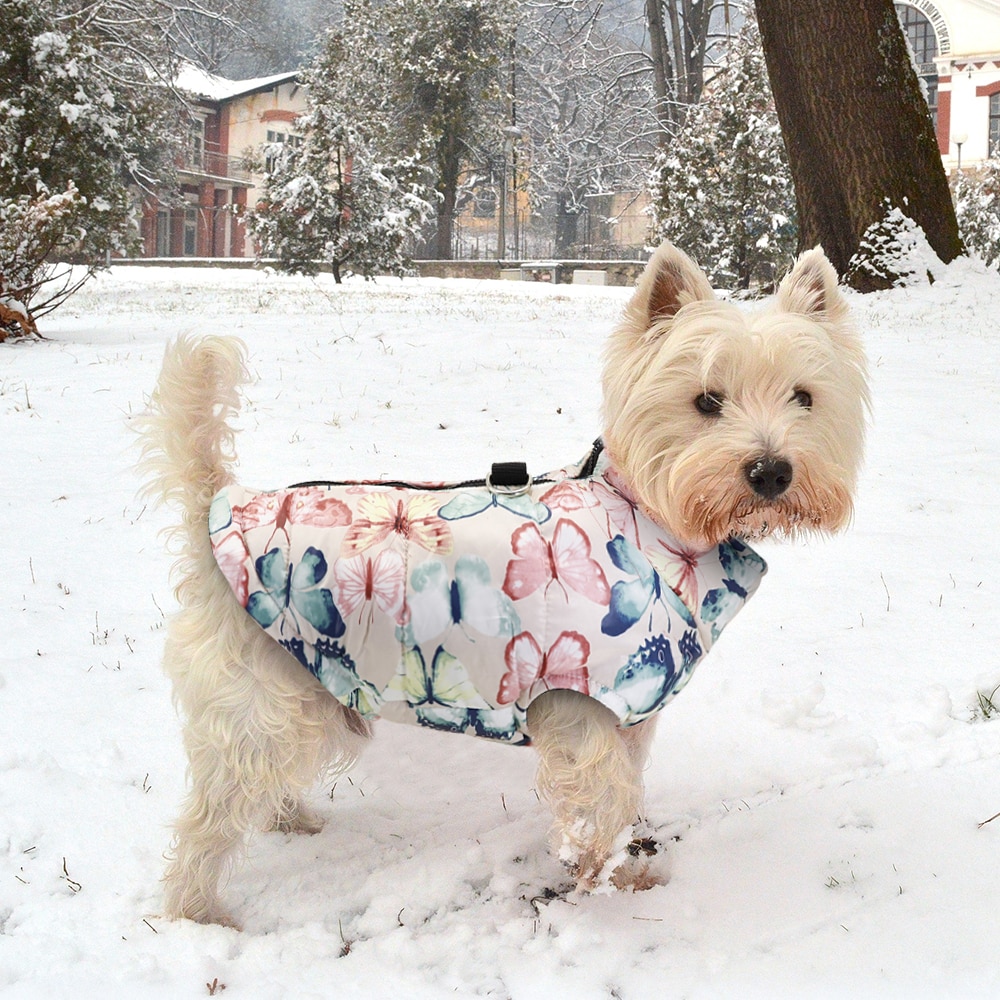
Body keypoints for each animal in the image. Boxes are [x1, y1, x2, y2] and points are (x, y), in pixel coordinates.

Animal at [139, 240, 868, 920]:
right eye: (707, 401)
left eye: (804, 397)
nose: (771, 471)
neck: (647, 514)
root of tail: (219, 506)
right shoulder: (581, 704)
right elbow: (605, 795)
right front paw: (596, 872)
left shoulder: (630, 712)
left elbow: (628, 789)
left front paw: (625, 867)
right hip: (260, 700)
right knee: (209, 818)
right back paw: (197, 912)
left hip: (313, 686)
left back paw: (292, 820)